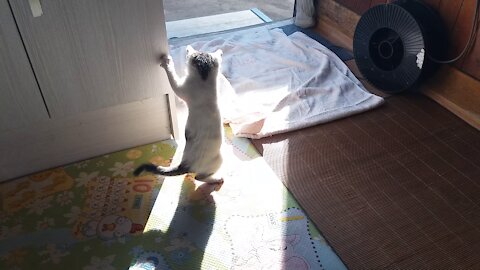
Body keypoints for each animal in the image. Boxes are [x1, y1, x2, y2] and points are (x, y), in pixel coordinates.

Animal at [135, 46, 225, 186]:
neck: (204, 79)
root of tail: (185, 165)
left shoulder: (183, 89)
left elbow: (172, 79)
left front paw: (167, 62)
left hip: (218, 159)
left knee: (198, 177)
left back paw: (216, 179)